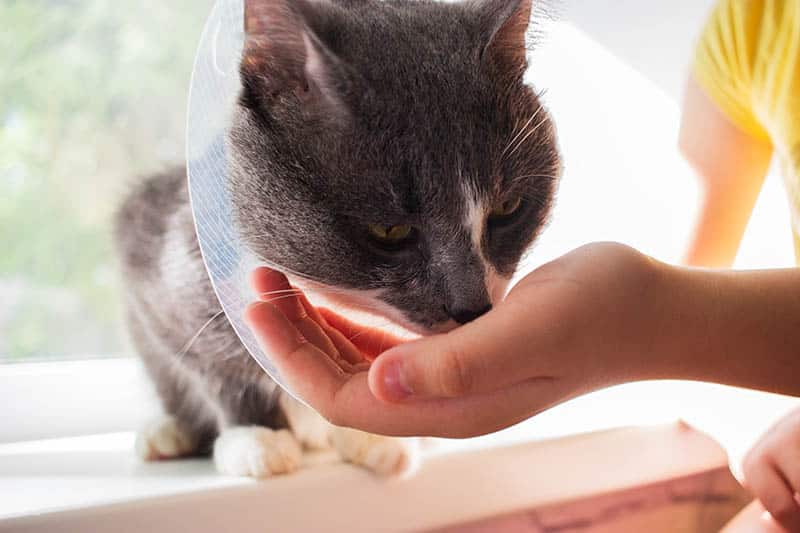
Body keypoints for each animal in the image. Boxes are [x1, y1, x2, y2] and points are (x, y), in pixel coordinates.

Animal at [115, 0, 560, 478]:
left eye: (508, 208)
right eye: (389, 230)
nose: (473, 307)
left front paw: (378, 438)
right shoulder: (161, 255)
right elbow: (208, 359)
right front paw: (256, 436)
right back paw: (170, 432)